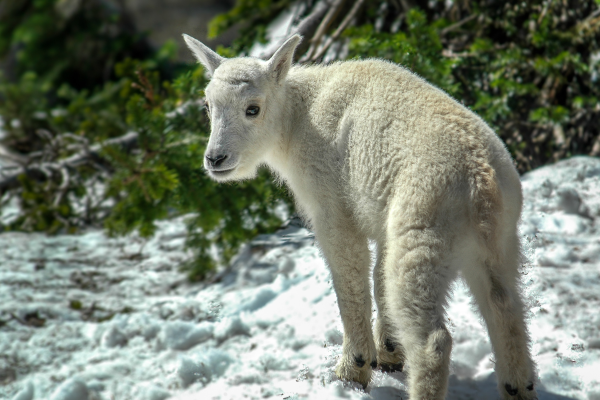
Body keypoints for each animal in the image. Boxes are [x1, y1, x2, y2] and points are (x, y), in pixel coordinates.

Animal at [184, 34, 540, 400]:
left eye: (252, 108)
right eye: (208, 107)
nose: (215, 159)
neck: (296, 119)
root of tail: (482, 184)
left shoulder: (332, 209)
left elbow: (350, 279)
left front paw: (354, 369)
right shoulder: (384, 222)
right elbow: (378, 277)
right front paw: (389, 353)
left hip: (423, 234)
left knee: (433, 339)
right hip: (499, 241)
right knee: (506, 307)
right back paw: (518, 386)